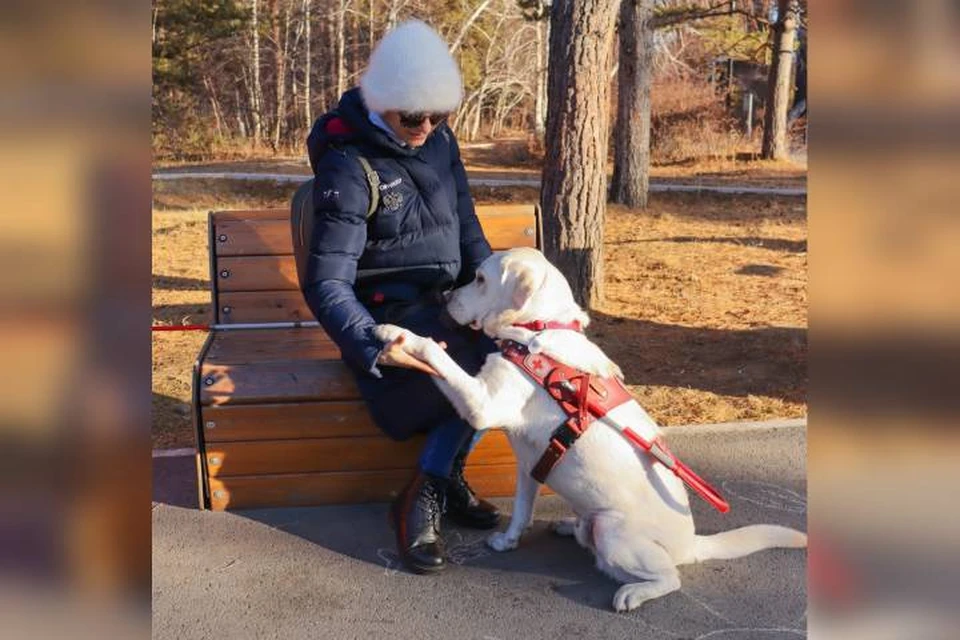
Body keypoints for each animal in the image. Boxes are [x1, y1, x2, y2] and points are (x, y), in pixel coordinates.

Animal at [372, 248, 808, 612]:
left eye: (479, 278)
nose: (445, 296)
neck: (537, 331)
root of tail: (691, 544)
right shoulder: (528, 464)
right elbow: (521, 510)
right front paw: (508, 541)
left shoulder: (481, 403)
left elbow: (435, 352)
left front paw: (399, 334)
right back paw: (570, 525)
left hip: (614, 532)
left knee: (670, 578)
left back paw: (633, 592)